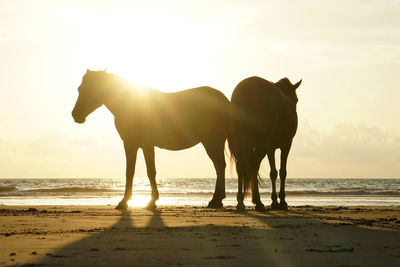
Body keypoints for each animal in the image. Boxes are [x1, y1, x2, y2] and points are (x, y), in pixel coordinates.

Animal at [72, 70, 228, 210]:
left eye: (89, 88)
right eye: (80, 88)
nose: (75, 115)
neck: (130, 105)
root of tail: (222, 98)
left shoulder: (146, 145)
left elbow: (150, 171)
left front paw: (151, 201)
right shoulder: (130, 144)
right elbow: (130, 172)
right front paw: (125, 201)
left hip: (214, 141)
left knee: (220, 166)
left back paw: (216, 200)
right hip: (210, 142)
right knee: (219, 166)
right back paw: (217, 200)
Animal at [228, 76, 300, 213]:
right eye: (296, 100)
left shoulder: (269, 147)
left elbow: (272, 172)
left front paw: (275, 201)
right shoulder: (286, 145)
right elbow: (281, 172)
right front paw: (281, 201)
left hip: (243, 141)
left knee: (242, 166)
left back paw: (241, 202)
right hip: (261, 144)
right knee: (254, 165)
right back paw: (258, 202)